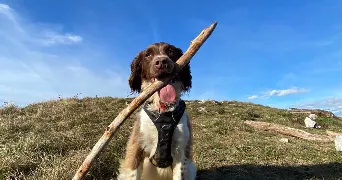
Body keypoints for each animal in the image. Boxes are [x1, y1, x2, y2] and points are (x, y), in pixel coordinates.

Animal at [117, 42, 196, 180]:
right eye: (148, 54)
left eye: (171, 51)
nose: (161, 62)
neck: (163, 111)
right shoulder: (136, 148)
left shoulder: (181, 152)